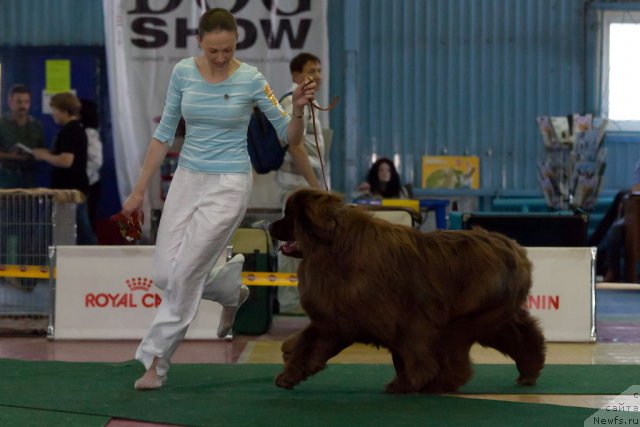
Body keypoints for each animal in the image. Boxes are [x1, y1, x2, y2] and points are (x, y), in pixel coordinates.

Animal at [268, 191, 544, 394]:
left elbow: (411, 354)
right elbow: (307, 343)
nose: (270, 226)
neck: (333, 248)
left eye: (289, 215)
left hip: (466, 319)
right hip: (490, 319)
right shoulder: (337, 318)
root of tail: (511, 247)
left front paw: (408, 383)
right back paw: (529, 371)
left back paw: (439, 383)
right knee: (520, 334)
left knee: (457, 353)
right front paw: (289, 373)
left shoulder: (401, 322)